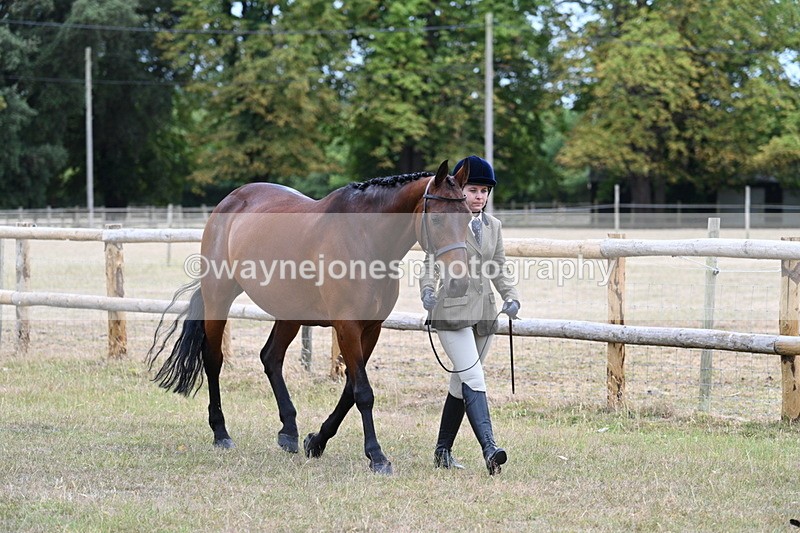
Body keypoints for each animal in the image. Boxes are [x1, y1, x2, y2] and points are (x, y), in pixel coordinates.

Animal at [147, 160, 471, 474]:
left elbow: (350, 391)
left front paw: (316, 441)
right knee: (213, 360)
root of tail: (229, 201)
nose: (459, 282)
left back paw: (288, 431)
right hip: (219, 297)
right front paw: (377, 456)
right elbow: (363, 392)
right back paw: (221, 433)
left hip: (288, 313)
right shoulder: (347, 327)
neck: (365, 239)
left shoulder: (371, 329)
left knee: (271, 357)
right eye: (437, 219)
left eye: (469, 218)